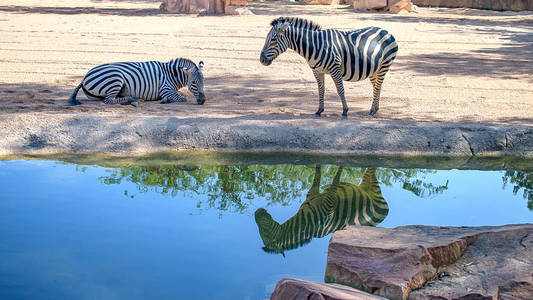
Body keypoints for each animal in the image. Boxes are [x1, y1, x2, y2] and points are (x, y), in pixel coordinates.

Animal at [68, 57, 206, 106]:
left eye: (203, 81)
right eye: (194, 83)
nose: (203, 100)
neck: (171, 75)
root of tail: (84, 78)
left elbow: (181, 95)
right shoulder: (165, 89)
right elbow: (182, 98)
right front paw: (165, 100)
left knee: (110, 99)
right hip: (116, 78)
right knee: (109, 101)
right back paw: (134, 100)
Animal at [254, 164, 386, 255]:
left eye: (263, 231)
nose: (256, 212)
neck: (305, 223)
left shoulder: (329, 204)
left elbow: (335, 179)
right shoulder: (316, 194)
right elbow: (317, 175)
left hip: (372, 188)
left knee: (372, 169)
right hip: (366, 186)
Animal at [260, 16, 396, 117]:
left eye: (273, 39)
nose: (261, 60)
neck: (315, 46)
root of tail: (386, 31)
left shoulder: (335, 68)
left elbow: (340, 90)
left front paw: (345, 110)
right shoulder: (317, 71)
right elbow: (321, 89)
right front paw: (319, 110)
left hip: (384, 65)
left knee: (377, 86)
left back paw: (372, 110)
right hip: (374, 69)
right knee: (376, 86)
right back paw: (375, 109)